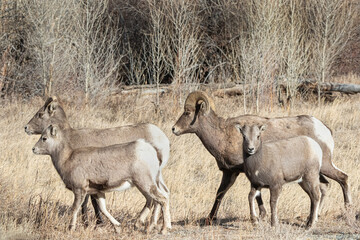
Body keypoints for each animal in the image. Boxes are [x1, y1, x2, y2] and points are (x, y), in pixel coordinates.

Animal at [24, 96, 169, 227]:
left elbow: (88, 203)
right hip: (156, 176)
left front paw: (92, 223)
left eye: (40, 114)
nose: (26, 127)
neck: (69, 140)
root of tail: (163, 138)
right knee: (163, 194)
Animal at [173, 91, 350, 224]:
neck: (223, 135)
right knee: (324, 187)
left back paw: (347, 210)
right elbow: (224, 193)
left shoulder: (237, 172)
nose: (174, 129)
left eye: (188, 112)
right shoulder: (233, 173)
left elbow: (232, 193)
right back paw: (313, 217)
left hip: (325, 165)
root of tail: (324, 129)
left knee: (343, 178)